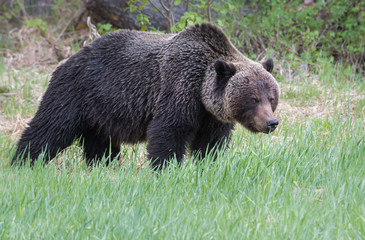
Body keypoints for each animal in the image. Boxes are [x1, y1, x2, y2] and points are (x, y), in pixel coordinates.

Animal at [11, 22, 278, 169]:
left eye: (272, 98)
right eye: (253, 98)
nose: (271, 122)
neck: (201, 88)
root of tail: (71, 57)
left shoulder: (212, 115)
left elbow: (210, 144)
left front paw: (209, 165)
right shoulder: (179, 87)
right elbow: (168, 131)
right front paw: (166, 169)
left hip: (101, 110)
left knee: (100, 142)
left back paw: (103, 165)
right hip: (77, 91)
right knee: (51, 127)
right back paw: (22, 161)